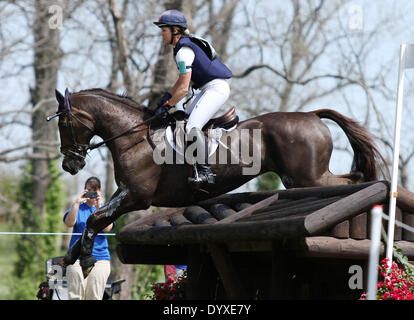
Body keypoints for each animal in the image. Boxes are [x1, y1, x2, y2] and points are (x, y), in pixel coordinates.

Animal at [49, 88, 384, 278]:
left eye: (64, 123)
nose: (70, 164)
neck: (134, 135)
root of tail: (311, 115)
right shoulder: (125, 193)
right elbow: (93, 219)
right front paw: (71, 256)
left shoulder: (136, 196)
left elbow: (96, 217)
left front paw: (87, 258)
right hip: (304, 178)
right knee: (350, 178)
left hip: (307, 177)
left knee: (350, 180)